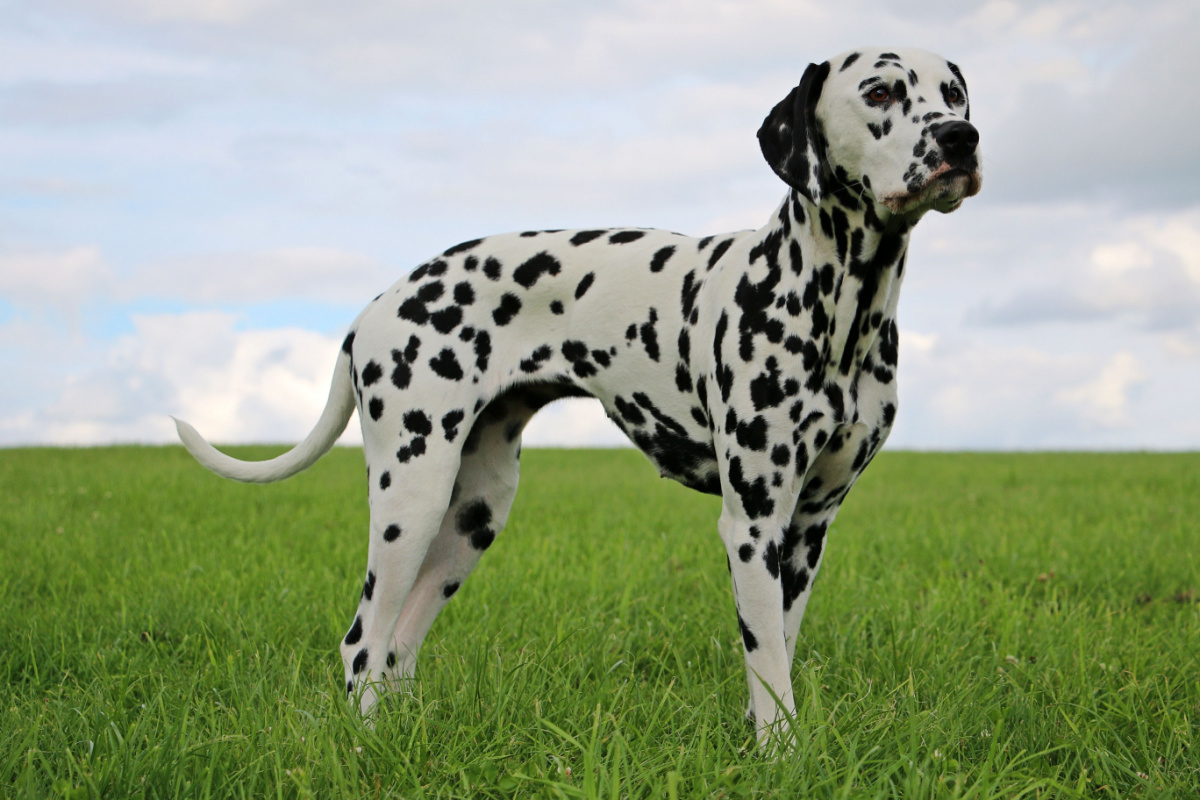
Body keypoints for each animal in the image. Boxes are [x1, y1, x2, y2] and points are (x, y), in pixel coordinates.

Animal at [177, 48, 984, 743]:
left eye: (954, 94)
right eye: (880, 92)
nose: (962, 137)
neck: (841, 306)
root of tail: (373, 308)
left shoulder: (808, 526)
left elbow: (775, 655)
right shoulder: (752, 522)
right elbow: (767, 667)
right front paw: (780, 753)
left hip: (474, 514)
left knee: (398, 649)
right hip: (411, 495)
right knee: (362, 644)